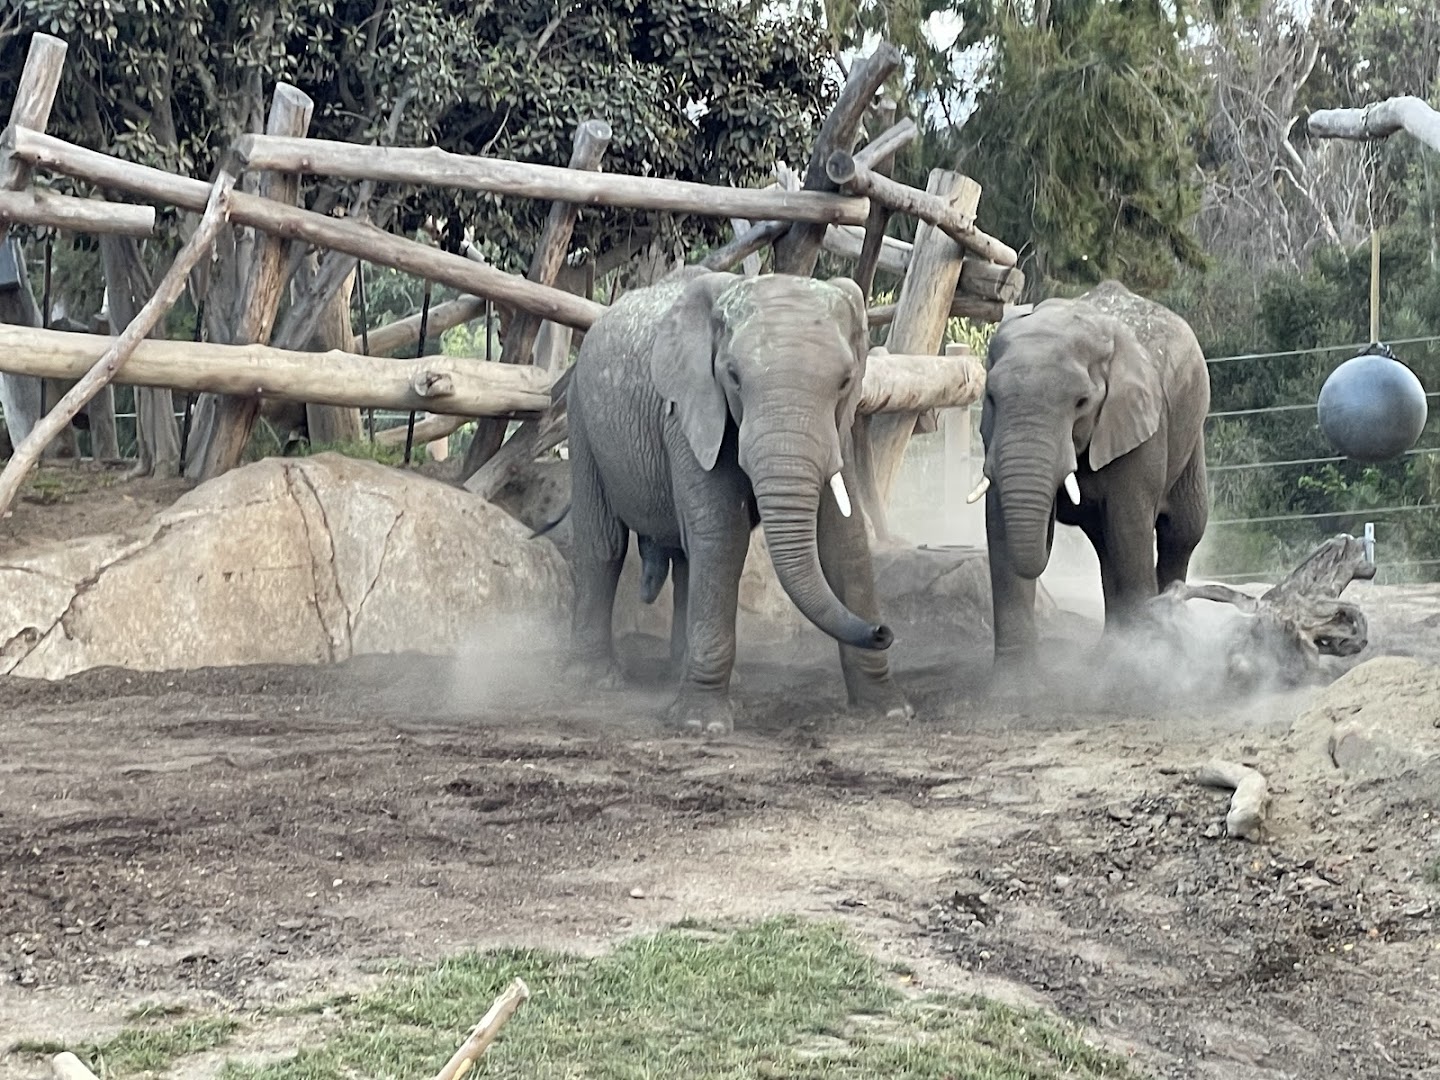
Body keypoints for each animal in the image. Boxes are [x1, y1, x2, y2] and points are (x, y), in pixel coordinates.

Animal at [563, 265, 911, 734]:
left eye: (844, 382)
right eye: (733, 376)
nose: (883, 631)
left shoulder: (840, 424)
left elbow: (846, 539)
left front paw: (890, 711)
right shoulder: (689, 412)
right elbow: (723, 535)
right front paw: (701, 724)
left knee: (687, 557)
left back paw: (680, 672)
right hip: (580, 415)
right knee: (605, 546)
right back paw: (596, 679)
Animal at [971, 280, 1211, 677]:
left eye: (1082, 402)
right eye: (990, 397)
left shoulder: (1138, 424)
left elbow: (1130, 528)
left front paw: (1142, 667)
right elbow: (999, 529)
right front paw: (1012, 684)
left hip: (1191, 432)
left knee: (1179, 532)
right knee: (1105, 546)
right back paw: (1108, 652)